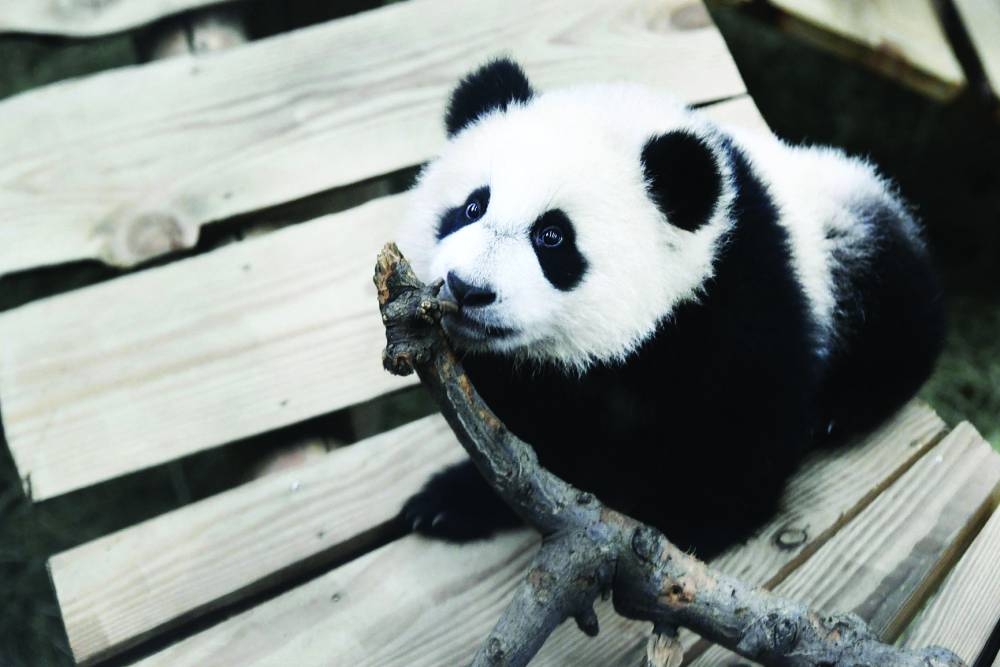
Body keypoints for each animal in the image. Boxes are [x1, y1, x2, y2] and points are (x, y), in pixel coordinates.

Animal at [396, 58, 944, 558]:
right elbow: (518, 434)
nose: (467, 289)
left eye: (552, 237)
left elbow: (748, 414)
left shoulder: (742, 290)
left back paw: (840, 410)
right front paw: (454, 501)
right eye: (472, 207)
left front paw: (689, 524)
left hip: (854, 246)